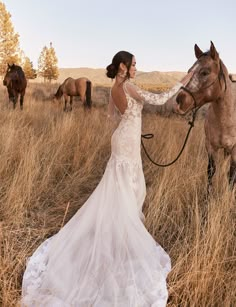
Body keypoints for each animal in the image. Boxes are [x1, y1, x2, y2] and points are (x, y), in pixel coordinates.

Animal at [175, 41, 236, 190]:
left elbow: (232, 176)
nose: (179, 101)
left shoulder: (234, 151)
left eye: (205, 72)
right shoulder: (210, 146)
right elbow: (211, 171)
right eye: (189, 71)